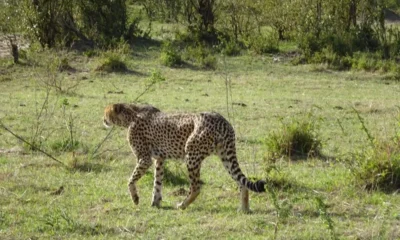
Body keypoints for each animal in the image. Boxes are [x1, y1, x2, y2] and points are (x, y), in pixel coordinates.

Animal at [103, 103, 266, 212]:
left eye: (106, 112)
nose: (103, 119)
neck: (130, 115)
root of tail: (221, 119)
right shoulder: (159, 159)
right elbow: (157, 181)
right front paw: (155, 202)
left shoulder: (145, 158)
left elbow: (131, 179)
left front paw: (135, 198)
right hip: (225, 156)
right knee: (242, 182)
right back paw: (244, 209)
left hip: (191, 155)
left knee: (196, 187)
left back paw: (182, 205)